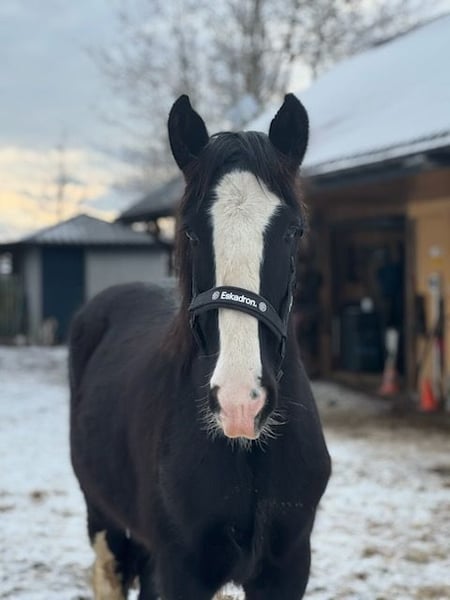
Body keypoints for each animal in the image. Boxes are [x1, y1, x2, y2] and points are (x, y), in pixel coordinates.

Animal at [69, 93, 331, 600]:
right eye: (190, 231)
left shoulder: (288, 568)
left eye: (294, 230)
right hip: (103, 519)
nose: (240, 402)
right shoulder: (181, 570)